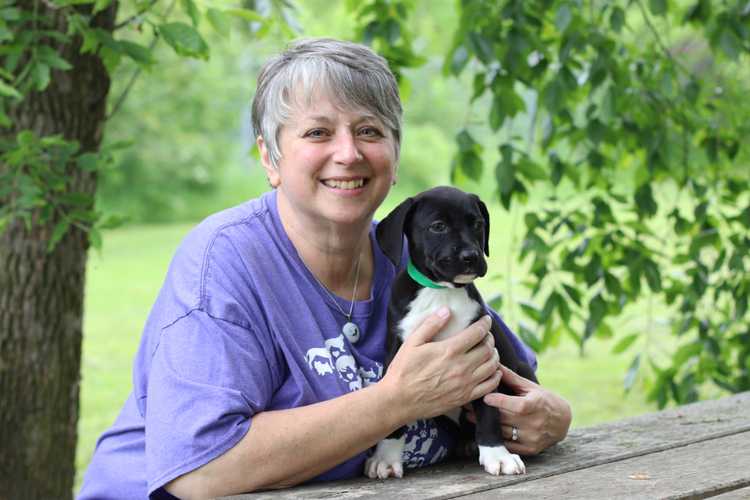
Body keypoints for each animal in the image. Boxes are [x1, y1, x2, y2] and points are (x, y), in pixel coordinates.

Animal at [368, 187, 536, 480]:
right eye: (438, 227)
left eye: (478, 225)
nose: (471, 256)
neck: (441, 292)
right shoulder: (395, 357)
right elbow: (393, 414)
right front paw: (386, 457)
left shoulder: (484, 358)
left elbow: (488, 411)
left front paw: (497, 454)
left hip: (523, 369)